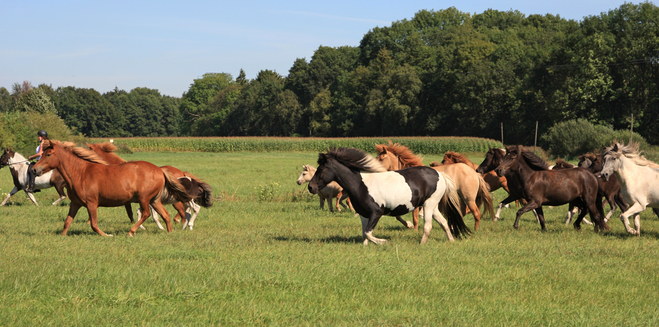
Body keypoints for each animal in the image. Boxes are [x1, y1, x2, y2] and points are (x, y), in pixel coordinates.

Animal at [32, 140, 192, 237]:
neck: (80, 173)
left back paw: (131, 232)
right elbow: (67, 222)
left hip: (144, 198)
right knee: (165, 214)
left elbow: (94, 224)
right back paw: (170, 232)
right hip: (154, 200)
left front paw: (107, 235)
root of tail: (160, 170)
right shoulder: (75, 203)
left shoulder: (92, 203)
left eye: (48, 154)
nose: (34, 170)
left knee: (146, 213)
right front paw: (62, 236)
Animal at [310, 147, 470, 245]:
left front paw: (384, 242)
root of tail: (440, 175)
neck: (360, 184)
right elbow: (364, 234)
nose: (310, 187)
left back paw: (421, 243)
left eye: (322, 168)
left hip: (429, 205)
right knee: (444, 223)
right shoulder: (363, 214)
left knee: (428, 226)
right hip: (433, 206)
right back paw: (451, 241)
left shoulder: (376, 213)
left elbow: (368, 233)